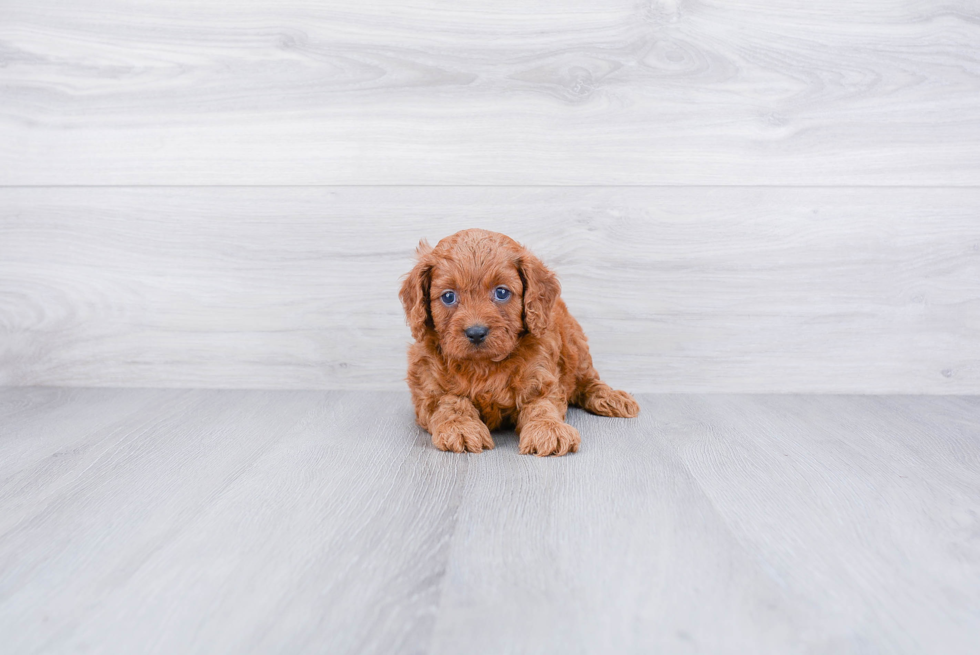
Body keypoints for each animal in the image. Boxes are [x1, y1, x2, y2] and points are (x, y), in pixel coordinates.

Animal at [400, 229, 644, 456]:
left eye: (501, 292)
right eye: (448, 296)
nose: (476, 332)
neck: (483, 365)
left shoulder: (541, 378)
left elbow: (542, 405)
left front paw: (549, 429)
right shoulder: (428, 387)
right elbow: (450, 402)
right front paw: (461, 427)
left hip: (577, 347)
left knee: (588, 380)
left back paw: (611, 397)